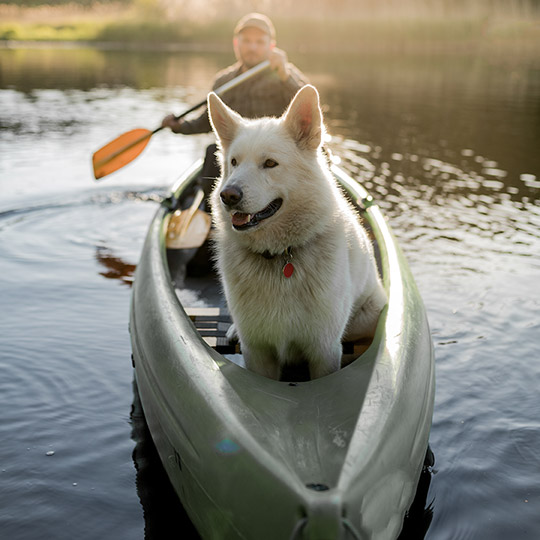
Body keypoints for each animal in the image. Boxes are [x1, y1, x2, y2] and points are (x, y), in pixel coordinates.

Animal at [208, 84, 388, 380]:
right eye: (234, 162)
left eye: (270, 163)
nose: (227, 196)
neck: (281, 257)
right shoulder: (257, 351)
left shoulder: (324, 350)